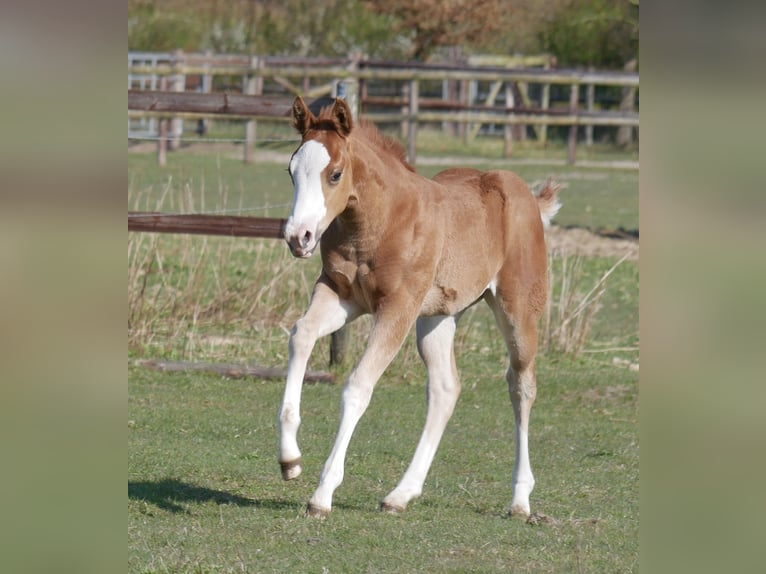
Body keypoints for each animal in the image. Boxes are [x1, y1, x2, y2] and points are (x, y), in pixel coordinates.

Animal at [279, 96, 561, 518]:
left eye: (335, 174)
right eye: (292, 170)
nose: (299, 237)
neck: (380, 221)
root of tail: (526, 195)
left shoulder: (397, 308)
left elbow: (357, 386)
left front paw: (322, 494)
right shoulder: (341, 295)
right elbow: (301, 334)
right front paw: (290, 460)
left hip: (518, 311)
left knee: (521, 386)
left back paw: (520, 500)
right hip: (438, 317)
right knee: (445, 388)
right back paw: (400, 494)